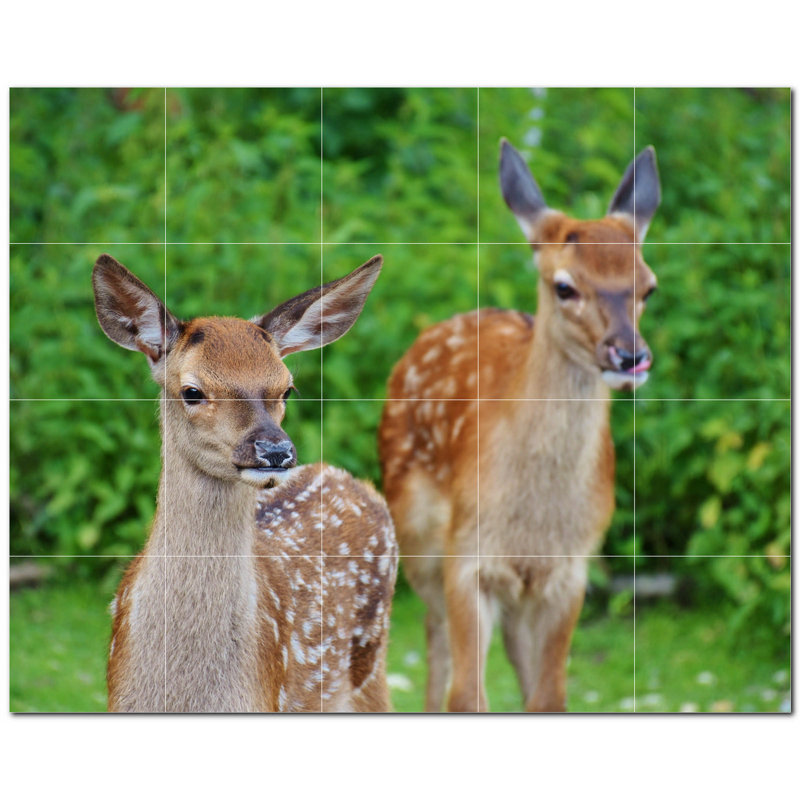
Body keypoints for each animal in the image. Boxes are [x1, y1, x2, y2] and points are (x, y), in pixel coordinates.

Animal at [379, 140, 660, 712]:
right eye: (565, 286)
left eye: (648, 287)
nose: (629, 356)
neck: (533, 516)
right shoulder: (468, 556)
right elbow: (467, 696)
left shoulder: (570, 569)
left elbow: (550, 696)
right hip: (417, 537)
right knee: (436, 642)